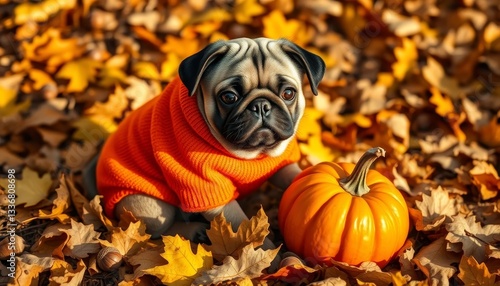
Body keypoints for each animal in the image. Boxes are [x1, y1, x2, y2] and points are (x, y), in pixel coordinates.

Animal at [83, 37, 324, 244]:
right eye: (229, 97)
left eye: (288, 93)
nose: (261, 105)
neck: (253, 153)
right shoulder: (213, 196)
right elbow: (244, 227)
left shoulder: (282, 164)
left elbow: (295, 176)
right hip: (152, 205)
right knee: (154, 231)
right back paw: (193, 230)